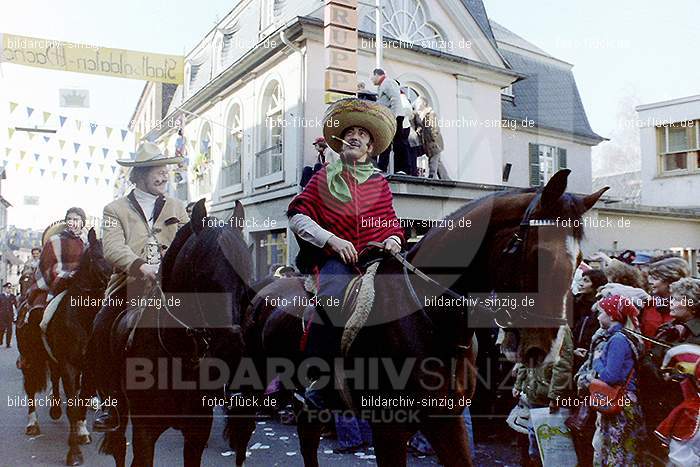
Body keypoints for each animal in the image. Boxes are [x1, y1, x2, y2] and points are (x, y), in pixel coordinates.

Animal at [98, 200, 252, 467]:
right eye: (203, 276)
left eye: (245, 276)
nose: (230, 349)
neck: (179, 356)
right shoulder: (144, 432)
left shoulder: (197, 432)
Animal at [228, 170, 608, 466]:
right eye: (536, 253)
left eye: (579, 261)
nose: (544, 348)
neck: (433, 321)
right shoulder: (389, 427)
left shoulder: (447, 421)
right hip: (252, 382)